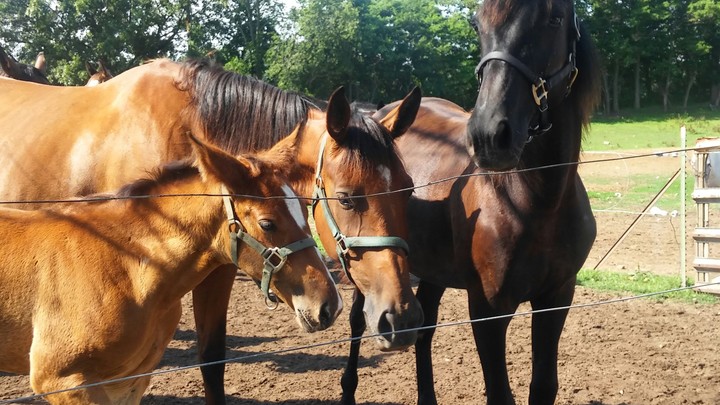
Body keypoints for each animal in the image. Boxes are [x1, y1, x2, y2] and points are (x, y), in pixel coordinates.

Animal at [0, 133, 340, 404]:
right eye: (267, 223)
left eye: (303, 211)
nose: (328, 306)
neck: (125, 265)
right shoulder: (63, 382)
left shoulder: (128, 381)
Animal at [341, 1, 601, 404]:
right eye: (477, 24)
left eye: (555, 18)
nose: (489, 134)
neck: (535, 202)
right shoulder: (487, 311)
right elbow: (499, 393)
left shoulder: (557, 299)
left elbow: (543, 386)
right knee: (358, 321)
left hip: (432, 269)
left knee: (424, 330)